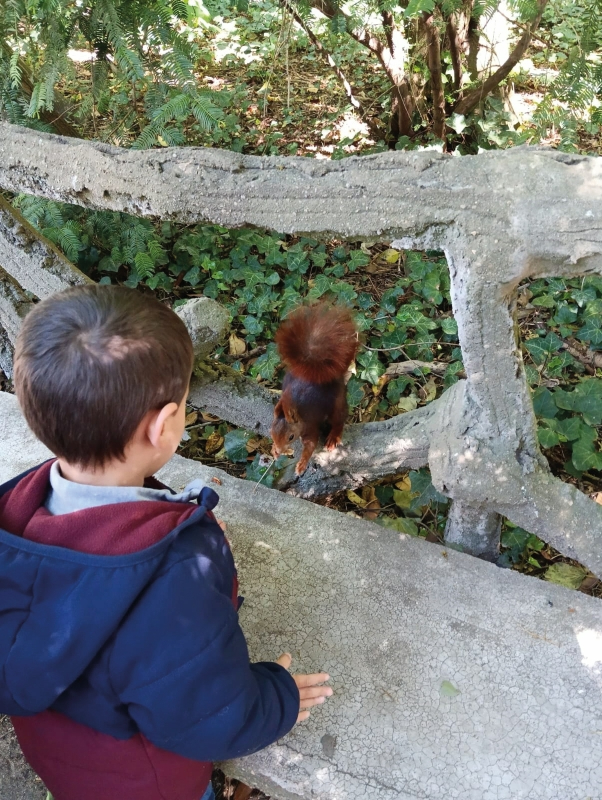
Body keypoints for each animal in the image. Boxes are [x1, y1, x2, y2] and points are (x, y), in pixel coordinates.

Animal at [270, 302, 356, 476]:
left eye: (291, 437)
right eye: (271, 433)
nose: (280, 450)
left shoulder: (310, 425)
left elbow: (310, 446)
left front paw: (301, 464)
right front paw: (274, 450)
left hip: (337, 401)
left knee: (339, 419)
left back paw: (333, 437)